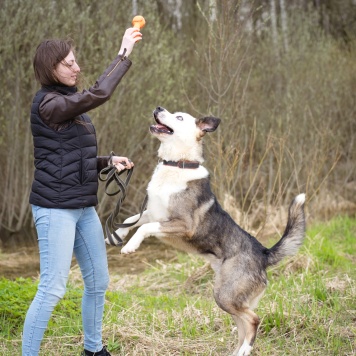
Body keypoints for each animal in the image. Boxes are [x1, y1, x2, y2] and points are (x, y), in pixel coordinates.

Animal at [115, 106, 304, 356]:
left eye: (179, 117)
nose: (158, 108)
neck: (177, 164)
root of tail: (264, 254)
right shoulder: (153, 212)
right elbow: (132, 219)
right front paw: (117, 236)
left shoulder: (182, 224)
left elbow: (144, 227)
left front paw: (130, 246)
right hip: (230, 299)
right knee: (244, 325)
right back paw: (237, 353)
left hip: (225, 295)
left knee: (254, 320)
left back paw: (244, 350)